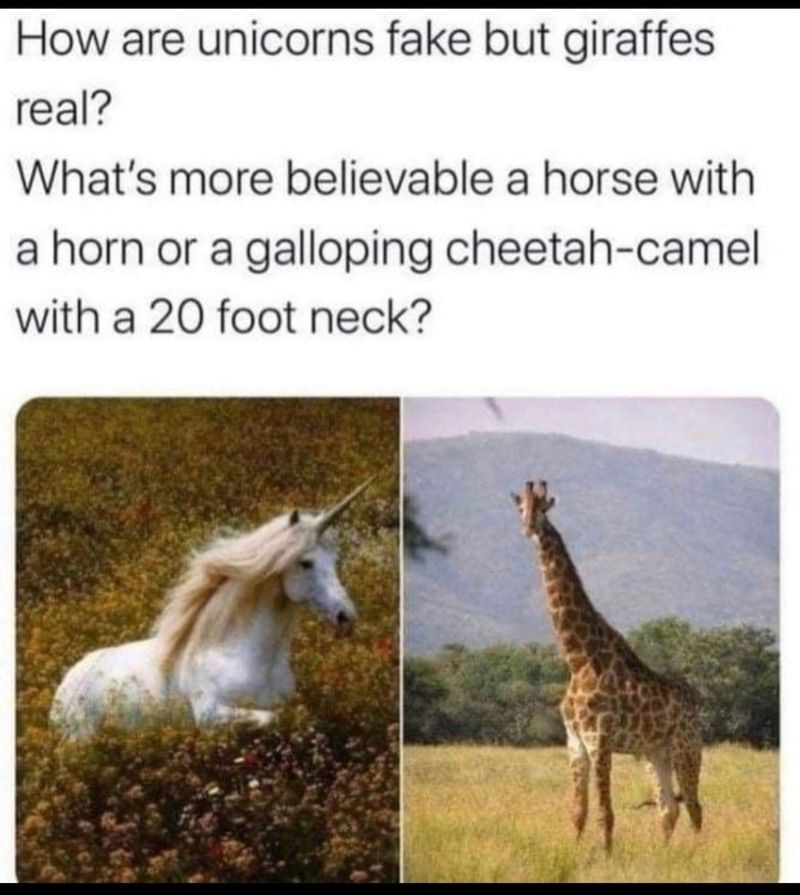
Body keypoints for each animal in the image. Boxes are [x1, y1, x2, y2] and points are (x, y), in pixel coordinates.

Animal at [511, 480, 702, 852]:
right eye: (521, 508)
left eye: (543, 508)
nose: (528, 529)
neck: (578, 659)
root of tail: (697, 705)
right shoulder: (575, 742)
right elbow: (578, 811)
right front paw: (575, 854)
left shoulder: (599, 738)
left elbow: (605, 812)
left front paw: (605, 857)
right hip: (653, 753)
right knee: (668, 808)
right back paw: (663, 855)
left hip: (686, 749)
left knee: (695, 807)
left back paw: (698, 855)